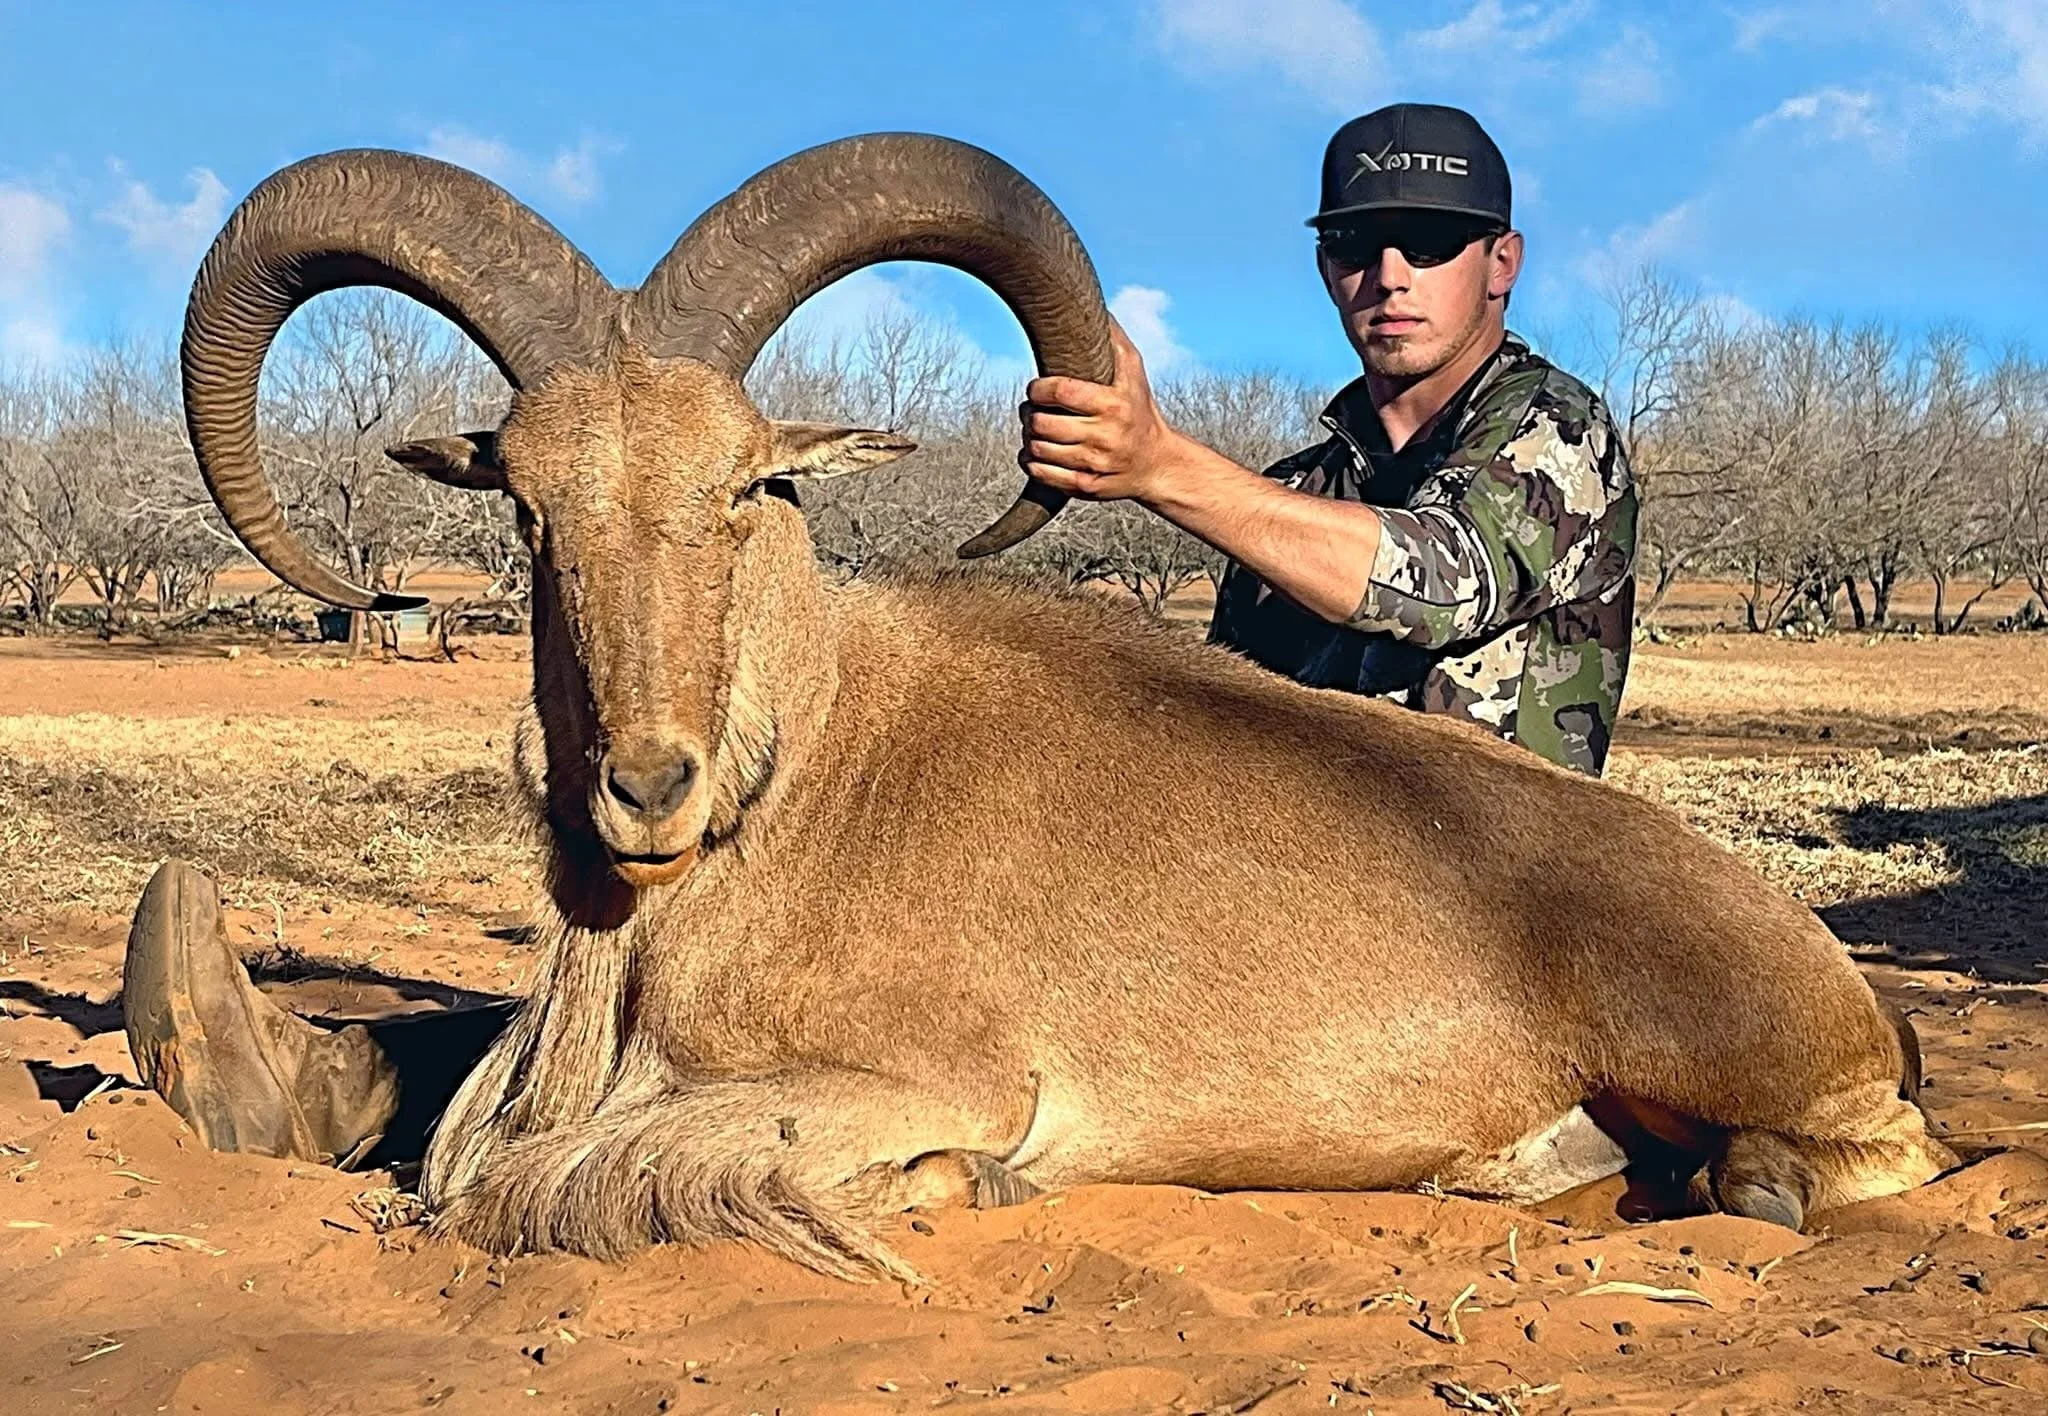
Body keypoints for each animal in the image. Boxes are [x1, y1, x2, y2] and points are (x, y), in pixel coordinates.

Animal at [176, 133, 1955, 1277]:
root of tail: (1839, 978)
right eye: (532, 506)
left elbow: (533, 1177)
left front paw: (957, 1187)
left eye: (746, 485)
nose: (645, 788)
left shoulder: (929, 1073)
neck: (806, 779)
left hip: (1737, 1055)